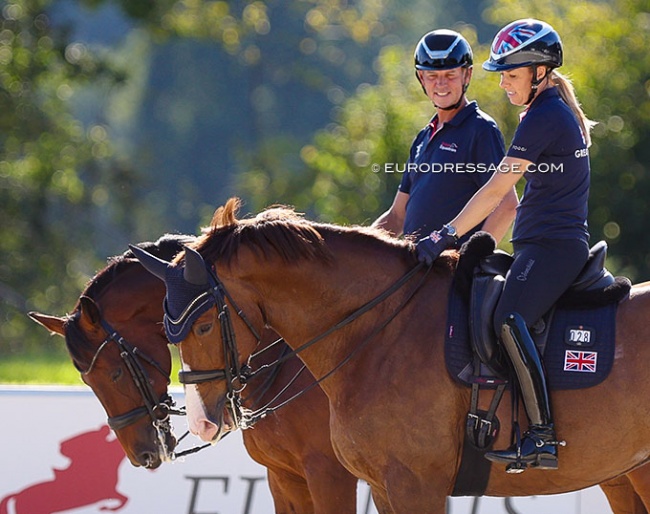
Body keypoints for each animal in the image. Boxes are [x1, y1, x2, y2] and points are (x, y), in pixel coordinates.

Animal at [130, 197, 648, 512]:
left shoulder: (410, 485)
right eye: (165, 332)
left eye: (201, 325)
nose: (201, 423)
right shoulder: (377, 486)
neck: (379, 331)